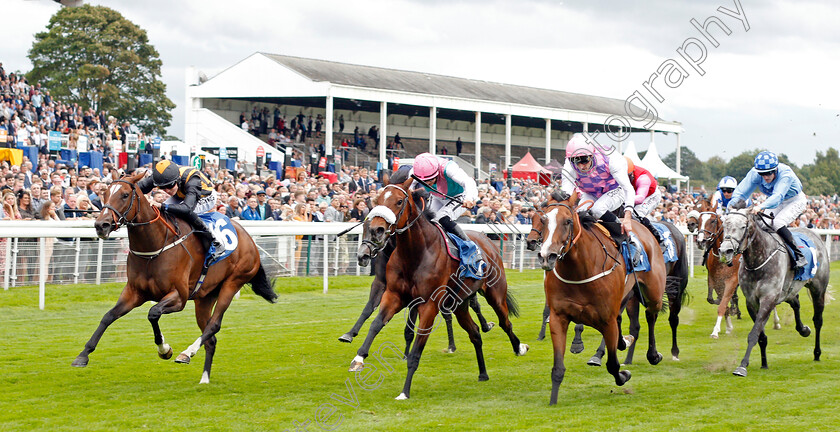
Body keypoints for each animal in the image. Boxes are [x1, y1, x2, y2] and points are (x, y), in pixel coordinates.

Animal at [71, 170, 278, 384]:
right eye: (104, 194)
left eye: (125, 195)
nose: (101, 225)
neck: (154, 246)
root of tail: (250, 239)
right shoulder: (134, 292)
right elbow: (108, 316)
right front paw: (83, 355)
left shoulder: (179, 297)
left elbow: (153, 313)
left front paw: (165, 349)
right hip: (205, 297)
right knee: (210, 337)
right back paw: (204, 379)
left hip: (232, 283)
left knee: (214, 325)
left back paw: (187, 353)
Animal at [352, 178, 528, 398]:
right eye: (377, 199)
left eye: (399, 201)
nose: (377, 230)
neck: (415, 254)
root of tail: (488, 241)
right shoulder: (394, 295)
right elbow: (376, 324)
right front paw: (358, 358)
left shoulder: (429, 304)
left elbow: (416, 350)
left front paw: (404, 392)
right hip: (459, 303)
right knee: (475, 333)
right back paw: (483, 373)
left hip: (495, 294)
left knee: (505, 323)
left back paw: (519, 347)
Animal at [532, 192, 664, 404]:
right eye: (543, 220)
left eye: (568, 221)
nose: (546, 256)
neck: (580, 269)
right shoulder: (558, 317)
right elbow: (558, 368)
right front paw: (553, 401)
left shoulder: (606, 320)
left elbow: (612, 365)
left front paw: (624, 375)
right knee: (623, 318)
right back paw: (624, 341)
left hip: (654, 294)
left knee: (651, 316)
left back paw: (653, 355)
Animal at [720, 204, 832, 376]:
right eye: (725, 225)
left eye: (743, 226)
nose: (725, 251)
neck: (758, 261)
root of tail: (815, 234)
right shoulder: (752, 302)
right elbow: (760, 335)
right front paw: (764, 363)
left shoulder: (768, 298)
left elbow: (754, 333)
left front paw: (742, 366)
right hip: (788, 290)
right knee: (796, 303)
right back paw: (803, 329)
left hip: (818, 289)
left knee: (818, 320)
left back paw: (817, 353)